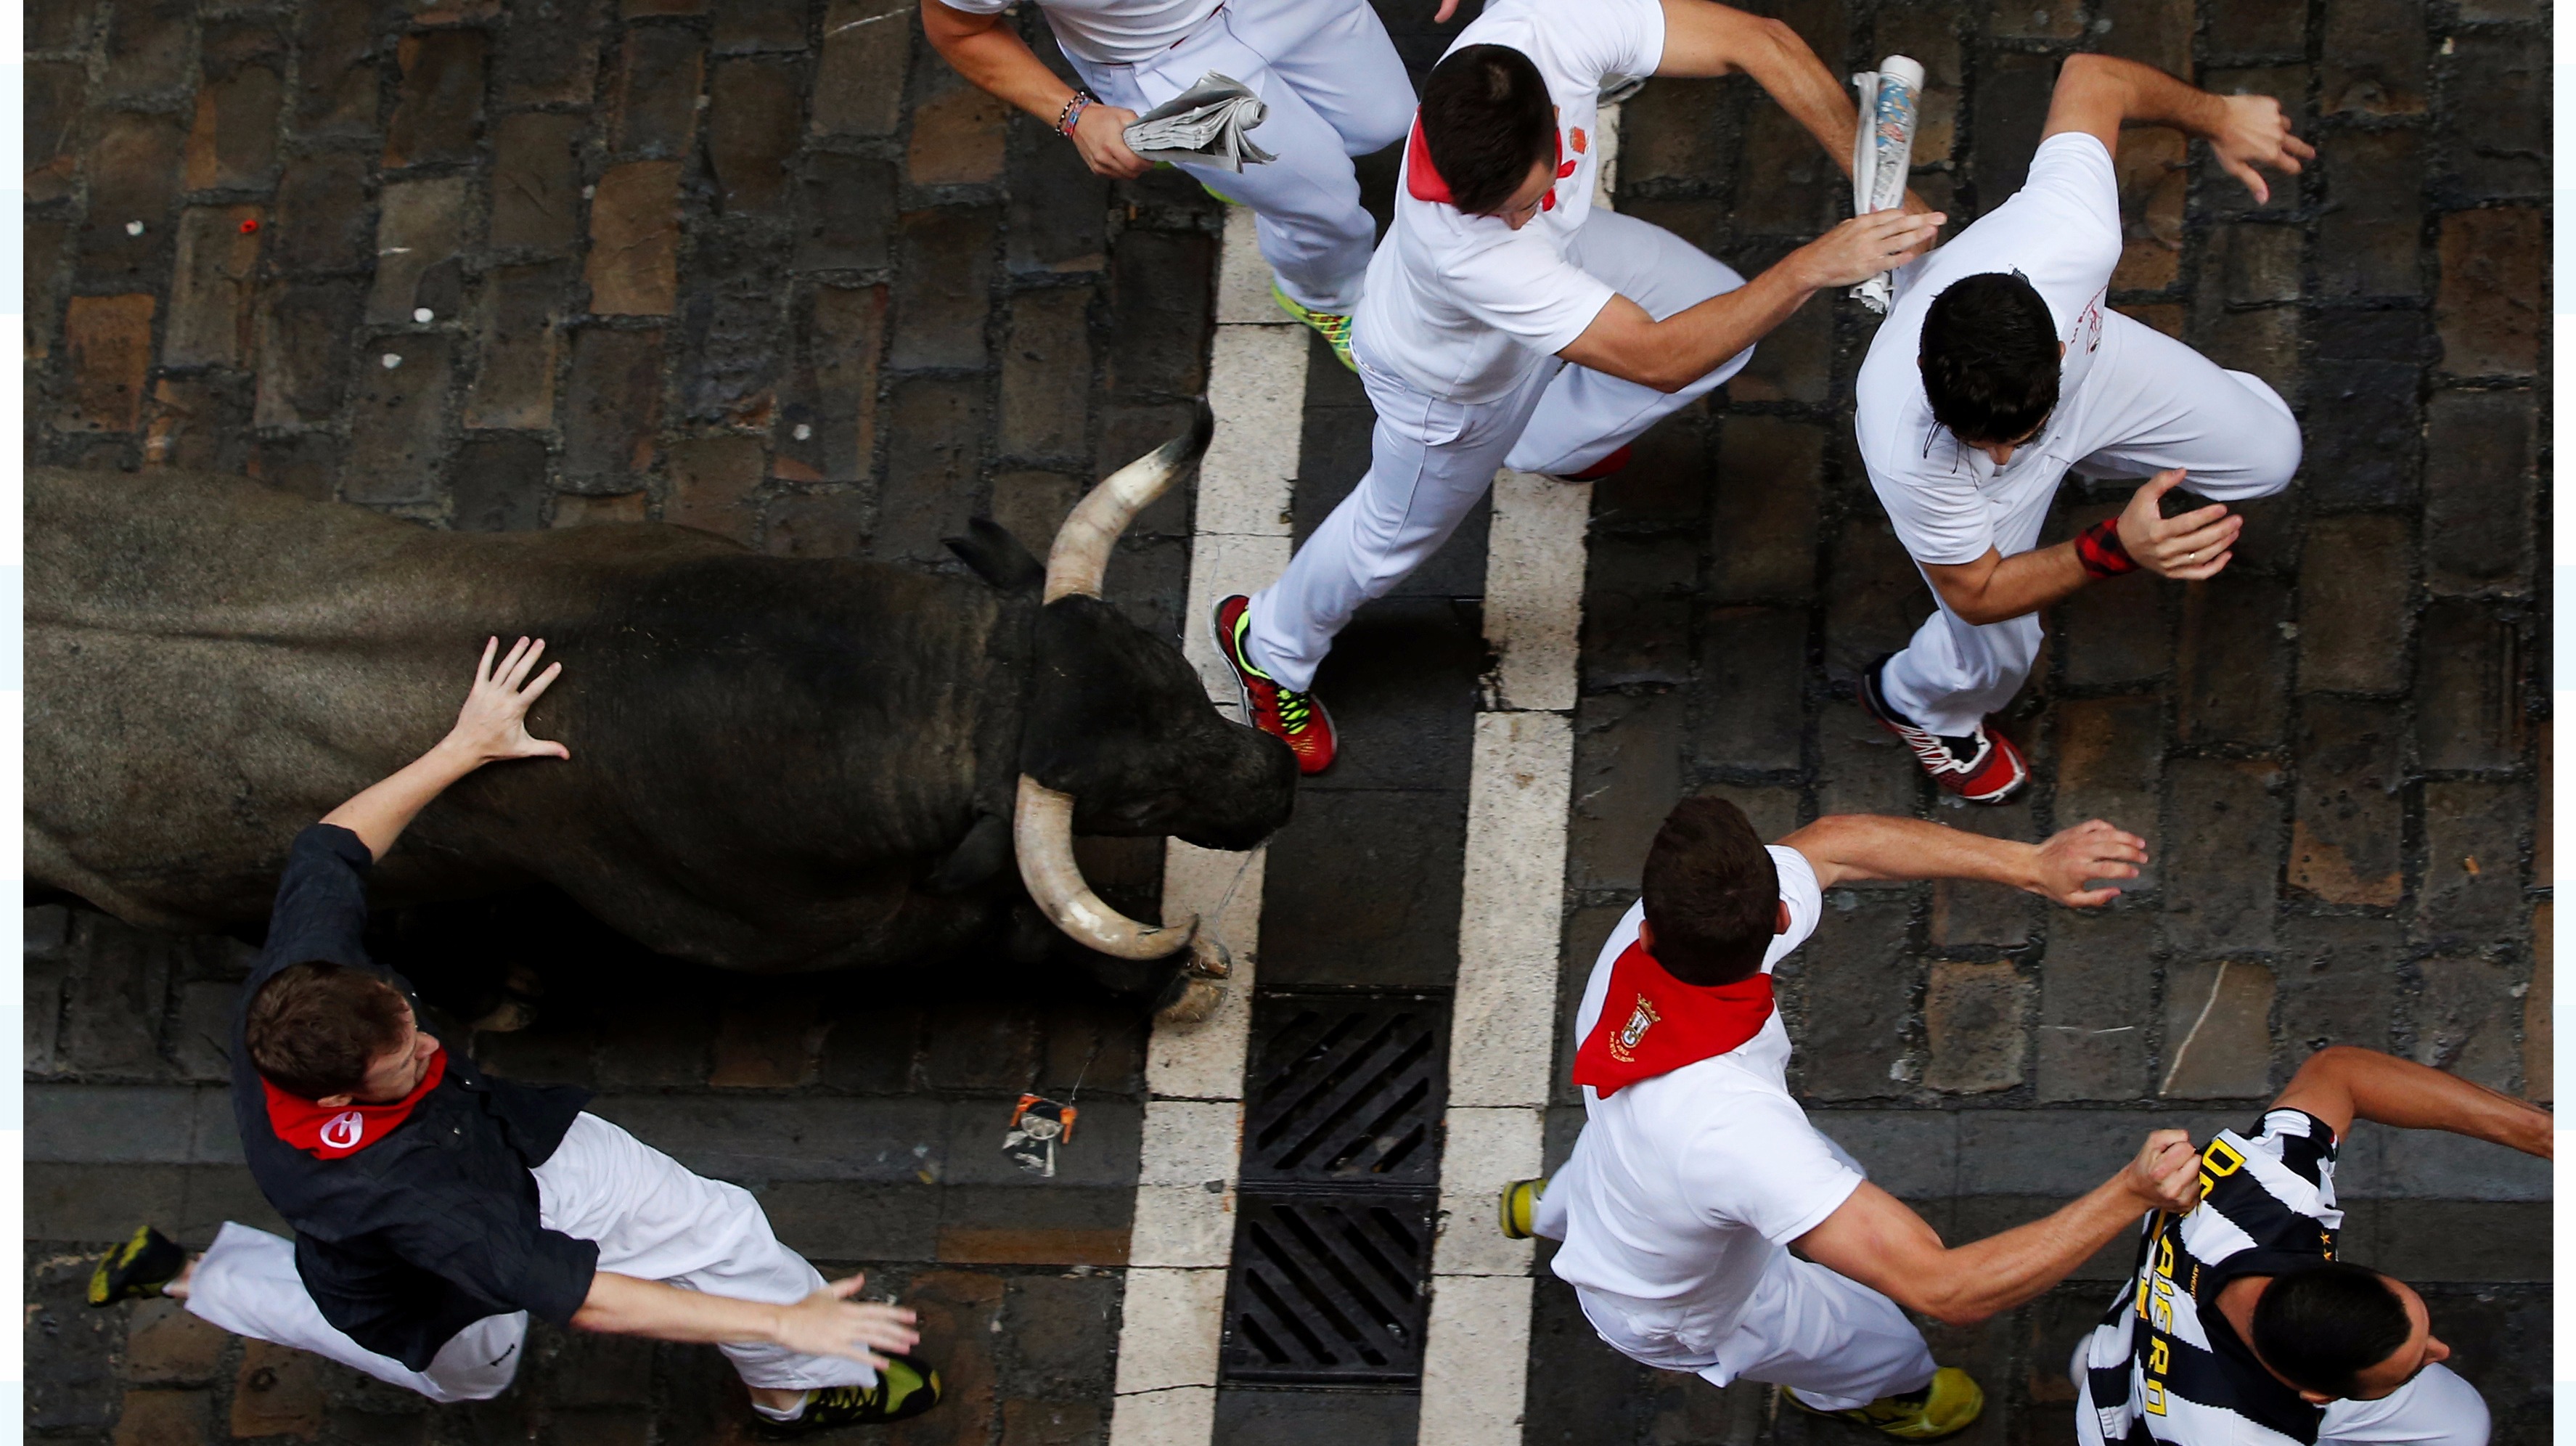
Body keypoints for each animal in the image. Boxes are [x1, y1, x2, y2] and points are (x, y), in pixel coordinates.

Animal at [27, 413, 1294, 1021]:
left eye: (1176, 672)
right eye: (1132, 793)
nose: (1273, 784)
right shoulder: (809, 933)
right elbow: (1013, 928)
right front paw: (1167, 980)